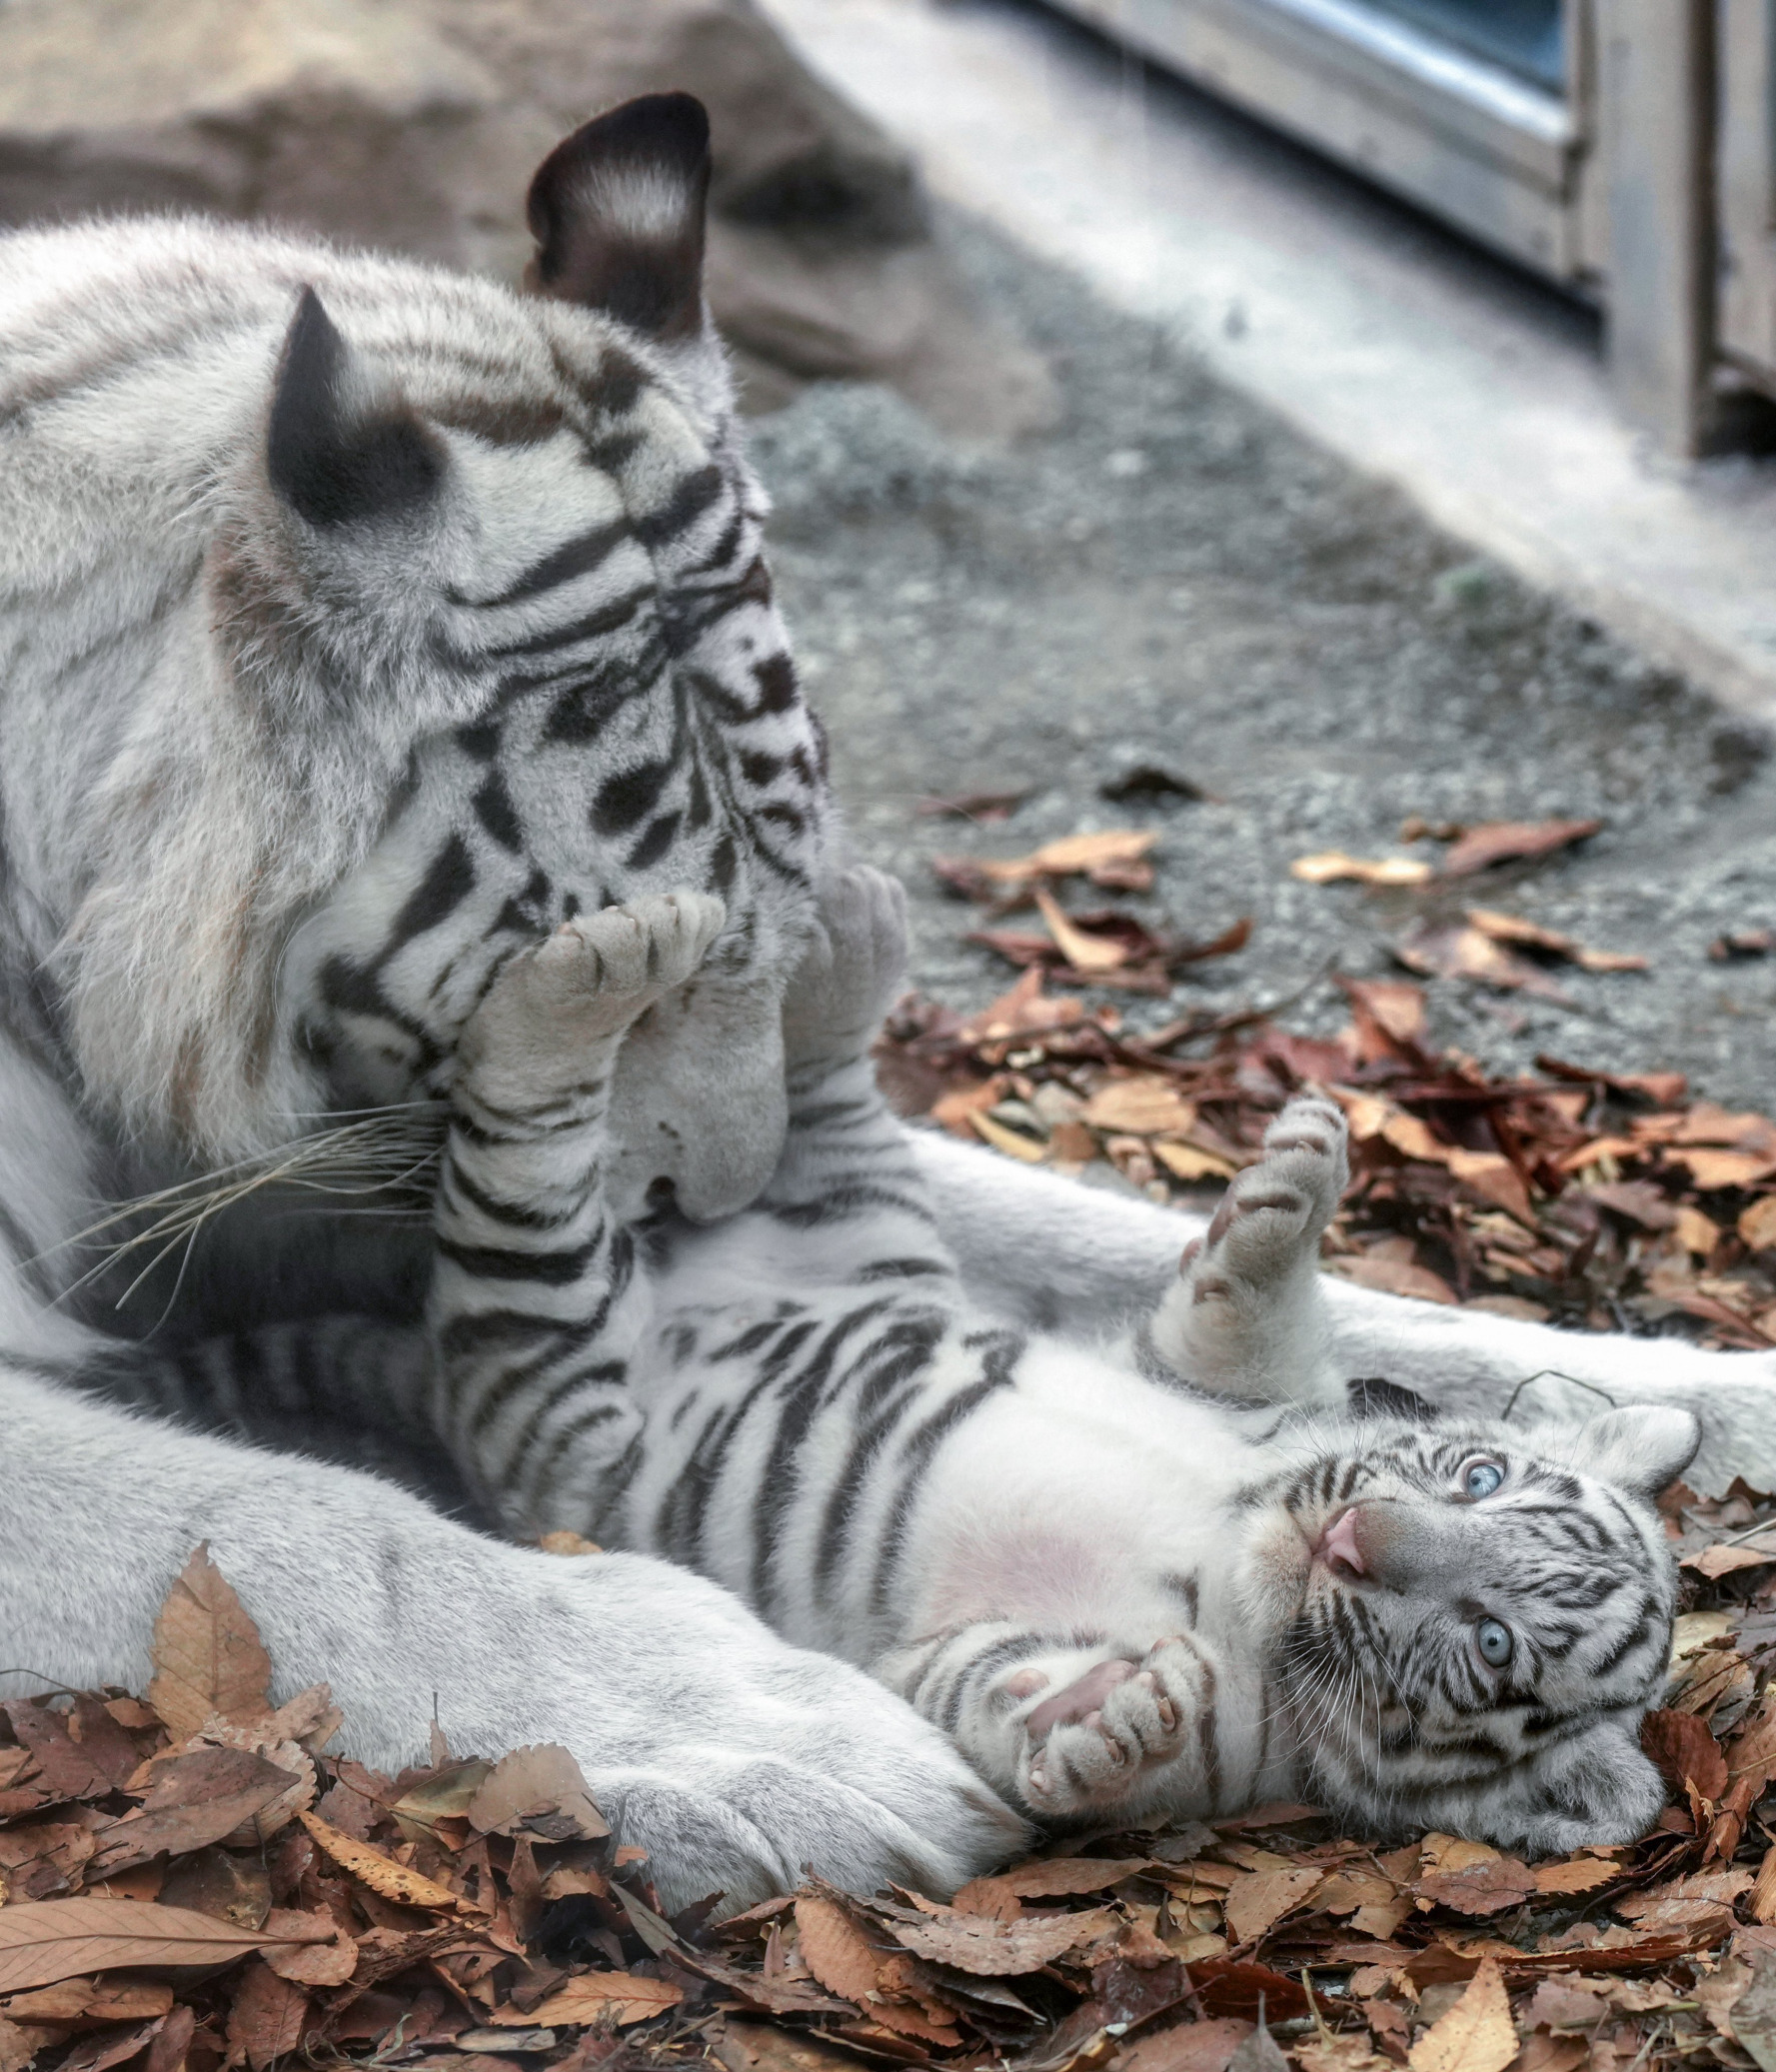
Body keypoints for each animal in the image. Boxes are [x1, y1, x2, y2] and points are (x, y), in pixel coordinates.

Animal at [0, 89, 1765, 1906]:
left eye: (771, 934)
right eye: (644, 983)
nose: (721, 1207)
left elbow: (1107, 1239)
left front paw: (1674, 1393)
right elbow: (290, 1526)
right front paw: (778, 1730)